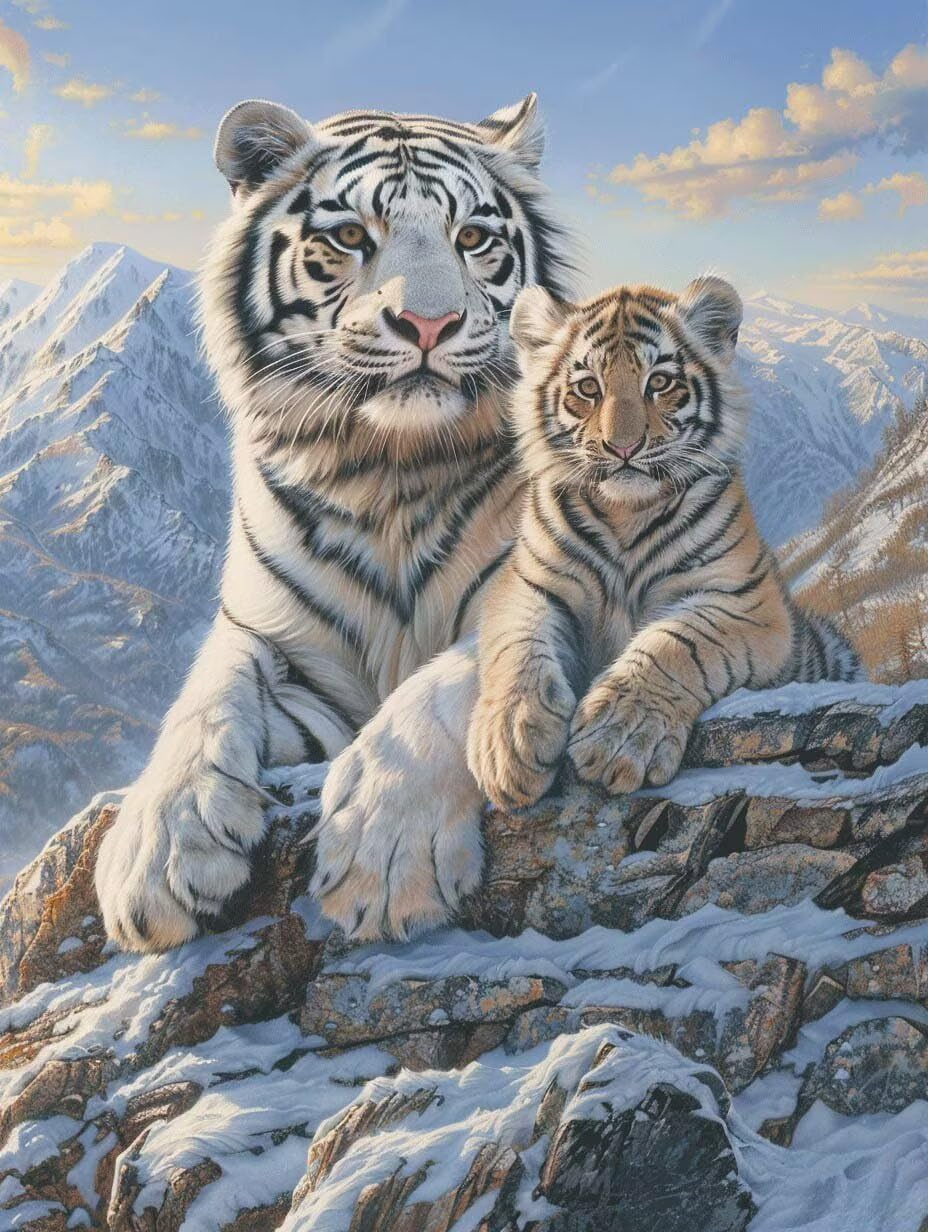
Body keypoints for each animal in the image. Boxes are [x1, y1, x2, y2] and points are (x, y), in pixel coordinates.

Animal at [94, 92, 573, 952]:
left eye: (473, 238)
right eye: (350, 237)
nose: (429, 324)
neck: (390, 469)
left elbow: (443, 684)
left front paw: (385, 856)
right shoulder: (275, 639)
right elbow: (202, 699)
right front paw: (156, 853)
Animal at [466, 276, 861, 811]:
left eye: (659, 383)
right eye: (588, 387)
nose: (623, 447)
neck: (625, 513)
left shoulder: (745, 601)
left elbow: (677, 643)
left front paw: (618, 740)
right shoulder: (524, 581)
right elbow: (517, 645)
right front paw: (507, 742)